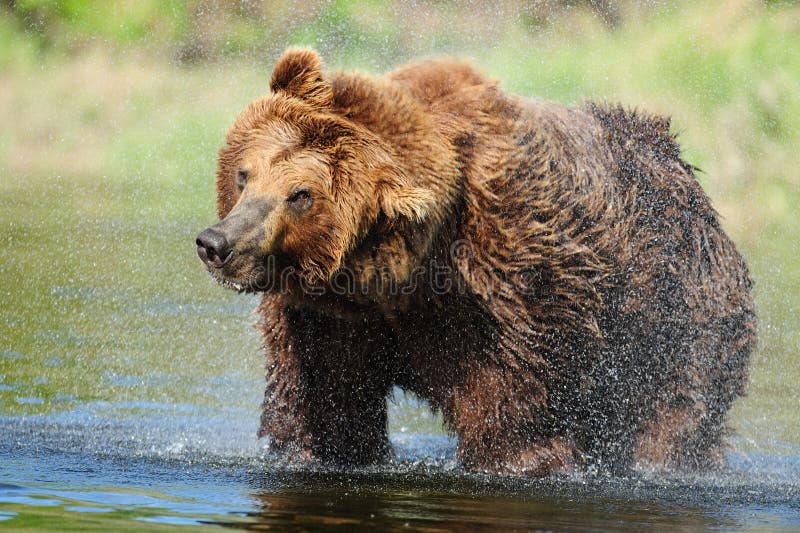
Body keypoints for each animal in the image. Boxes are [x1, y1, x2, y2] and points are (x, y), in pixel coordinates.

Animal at [195, 48, 756, 474]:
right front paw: (313, 447)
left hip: (675, 320)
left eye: (301, 195)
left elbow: (508, 407)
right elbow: (324, 399)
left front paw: (522, 459)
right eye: (245, 175)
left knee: (673, 416)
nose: (216, 243)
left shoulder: (501, 290)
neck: (396, 278)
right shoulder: (328, 319)